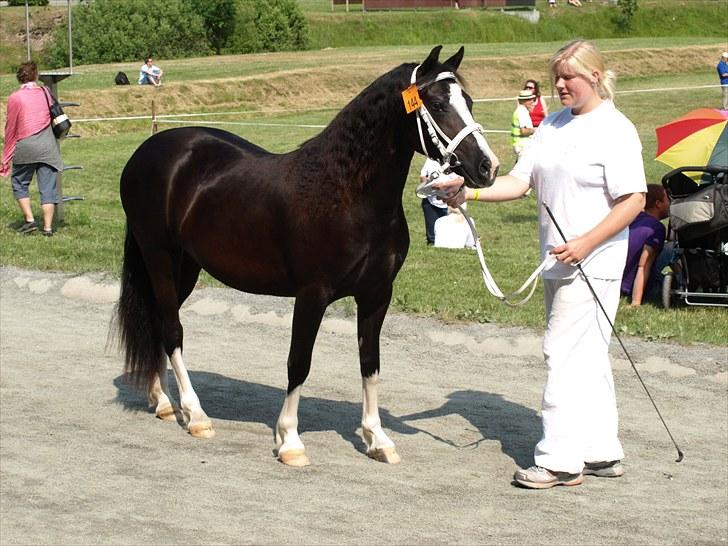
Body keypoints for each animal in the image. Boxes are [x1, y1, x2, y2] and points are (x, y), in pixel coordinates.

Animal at [115, 45, 500, 467]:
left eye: (469, 102)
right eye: (437, 103)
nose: (488, 167)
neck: (346, 194)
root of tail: (149, 151)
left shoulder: (376, 295)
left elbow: (370, 364)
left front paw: (377, 438)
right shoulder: (312, 294)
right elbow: (298, 362)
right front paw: (290, 441)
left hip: (185, 266)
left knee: (158, 322)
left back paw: (163, 403)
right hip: (159, 257)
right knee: (172, 329)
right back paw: (195, 414)